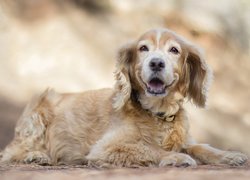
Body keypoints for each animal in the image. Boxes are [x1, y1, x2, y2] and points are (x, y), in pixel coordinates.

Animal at [0, 28, 247, 167]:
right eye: (143, 48)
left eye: (174, 50)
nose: (156, 63)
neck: (157, 114)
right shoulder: (106, 147)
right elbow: (149, 148)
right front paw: (175, 157)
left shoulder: (186, 140)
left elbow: (202, 148)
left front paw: (229, 155)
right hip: (37, 112)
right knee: (11, 152)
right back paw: (36, 156)